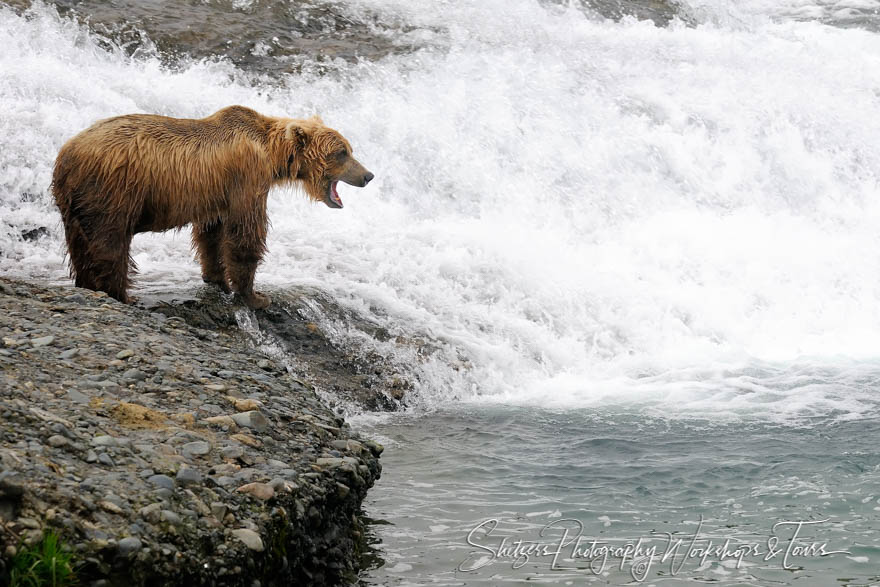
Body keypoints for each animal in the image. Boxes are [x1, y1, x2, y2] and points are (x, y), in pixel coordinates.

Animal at [49, 106, 372, 310]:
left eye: (349, 149)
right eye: (341, 152)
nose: (368, 175)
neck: (272, 155)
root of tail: (66, 154)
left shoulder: (217, 192)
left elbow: (211, 234)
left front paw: (216, 278)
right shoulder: (248, 176)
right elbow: (245, 232)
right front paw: (255, 295)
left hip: (74, 202)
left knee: (80, 245)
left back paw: (87, 284)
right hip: (112, 190)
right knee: (110, 244)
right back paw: (122, 294)